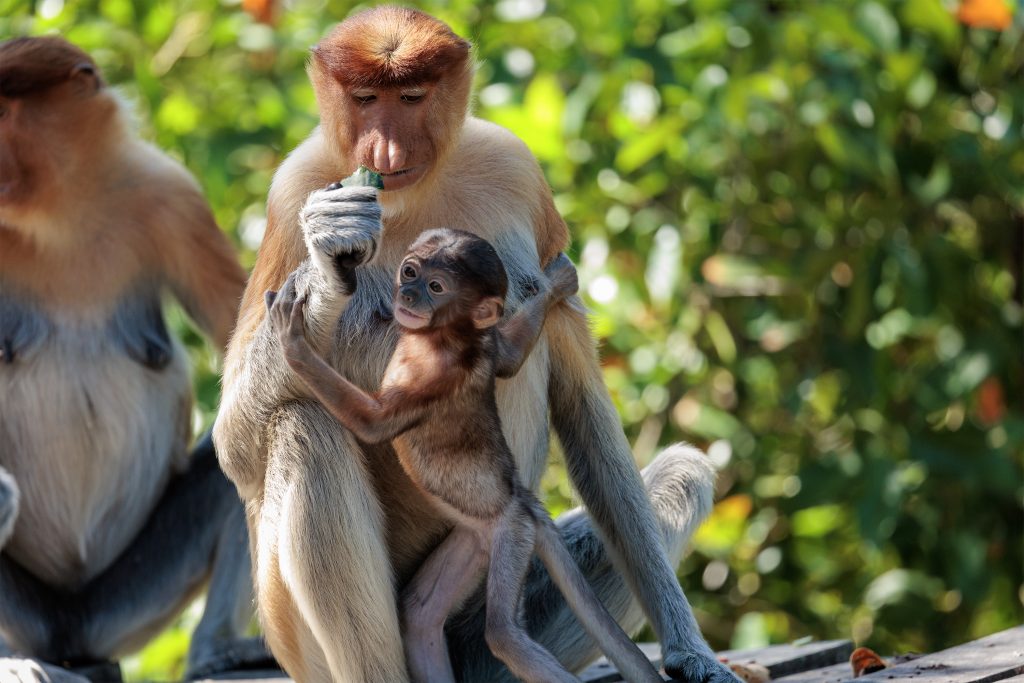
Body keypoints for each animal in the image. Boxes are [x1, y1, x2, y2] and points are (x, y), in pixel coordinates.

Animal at [0, 36, 270, 681]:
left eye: (2, 113)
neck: (60, 216)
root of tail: (67, 627)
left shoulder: (172, 198)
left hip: (128, 599)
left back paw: (215, 650)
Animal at [266, 228, 662, 683]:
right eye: (410, 271)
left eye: (437, 287)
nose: (409, 295)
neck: (438, 336)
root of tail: (521, 498)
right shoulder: (485, 346)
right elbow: (508, 357)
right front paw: (554, 285)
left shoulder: (437, 376)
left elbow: (374, 423)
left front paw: (293, 342)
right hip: (474, 541)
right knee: (419, 616)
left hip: (511, 534)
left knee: (504, 635)